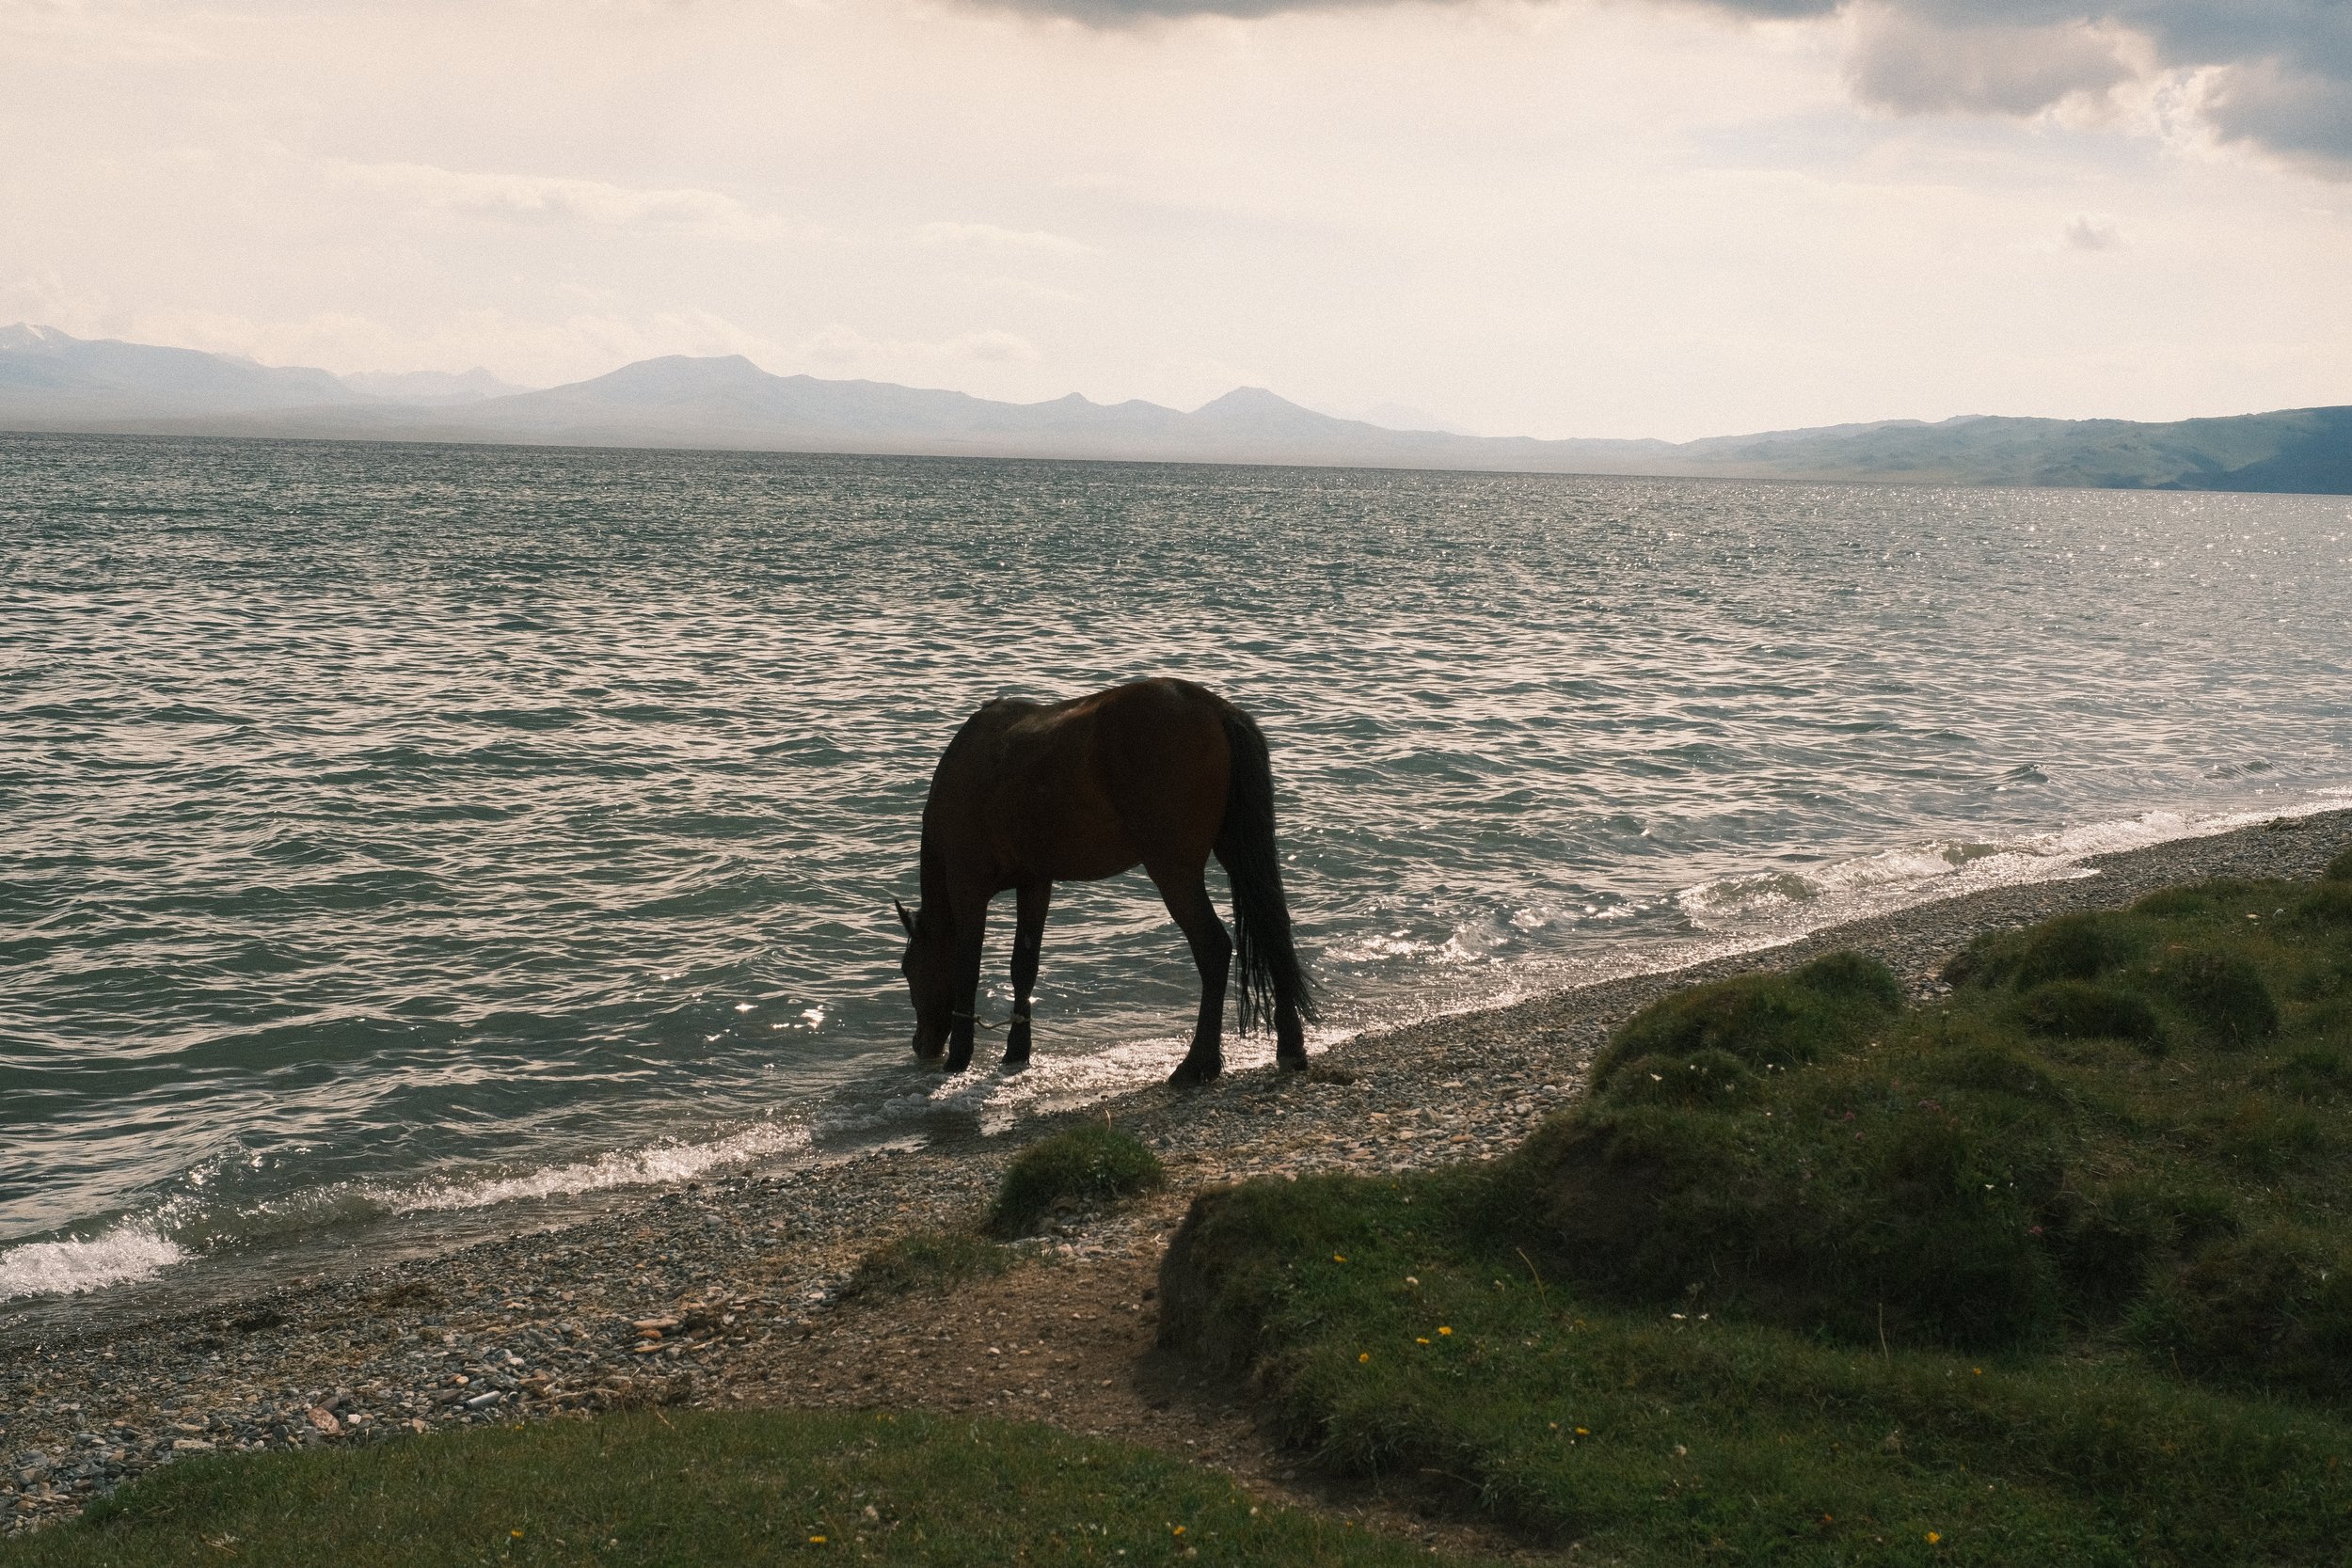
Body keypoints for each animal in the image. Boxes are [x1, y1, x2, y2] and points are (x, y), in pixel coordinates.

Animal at [894, 677, 1316, 1087]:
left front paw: (960, 1057)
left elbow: (967, 970)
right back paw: (1290, 1047)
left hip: (1174, 871)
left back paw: (1198, 1064)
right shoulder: (1035, 884)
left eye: (908, 969)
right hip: (1235, 852)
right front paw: (1016, 1051)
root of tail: (1215, 708)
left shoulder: (968, 890)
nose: (920, 1045)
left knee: (1213, 948)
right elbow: (1023, 967)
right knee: (1273, 932)